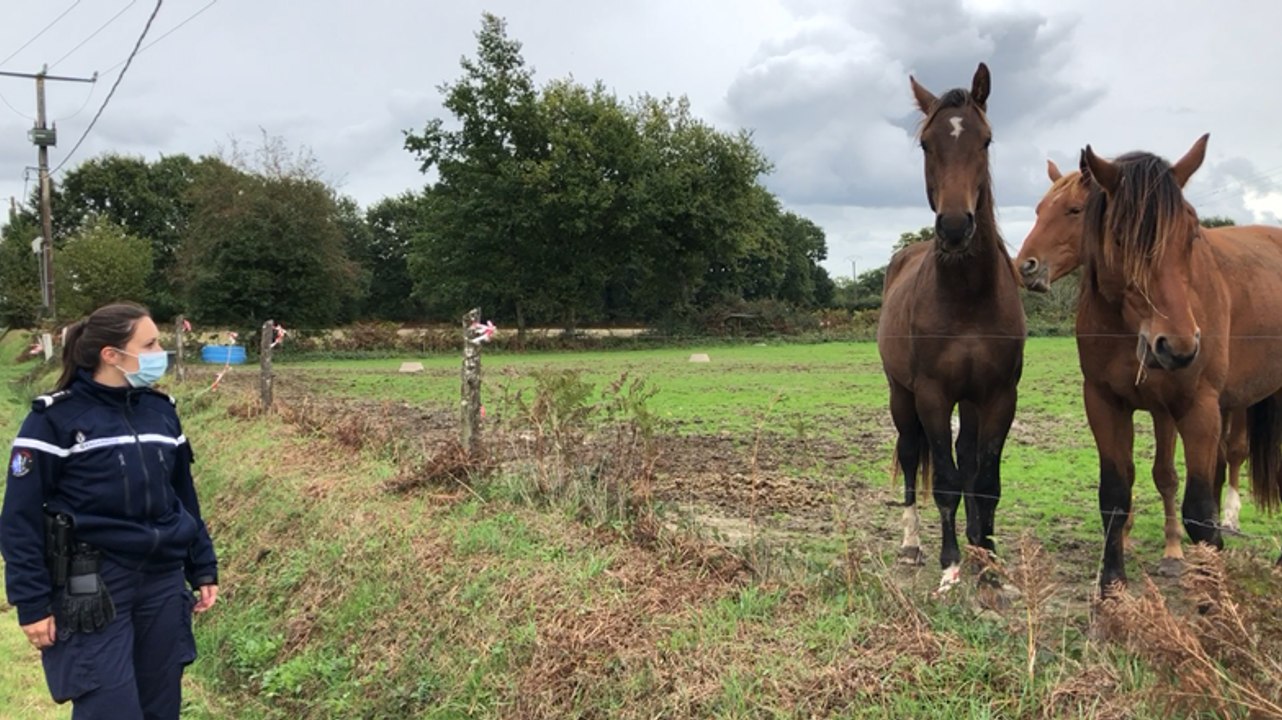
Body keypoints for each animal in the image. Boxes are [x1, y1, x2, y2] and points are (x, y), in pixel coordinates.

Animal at [878, 63, 1026, 592]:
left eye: (985, 139)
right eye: (926, 143)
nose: (957, 227)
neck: (967, 298)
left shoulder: (998, 396)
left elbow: (984, 481)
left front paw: (989, 561)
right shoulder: (933, 395)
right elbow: (943, 480)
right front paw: (951, 564)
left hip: (972, 403)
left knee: (968, 465)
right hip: (901, 396)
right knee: (909, 456)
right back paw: (911, 545)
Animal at [1014, 161, 1253, 576]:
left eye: (1074, 210)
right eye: (1039, 210)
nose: (1025, 266)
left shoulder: (1168, 409)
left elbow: (1166, 476)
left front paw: (1173, 549)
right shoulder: (1123, 405)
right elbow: (1130, 474)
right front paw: (1125, 539)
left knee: (1234, 453)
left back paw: (1228, 519)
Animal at [1077, 135, 1282, 589]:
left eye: (1191, 234)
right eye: (1120, 238)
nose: (1180, 348)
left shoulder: (1197, 407)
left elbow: (1199, 514)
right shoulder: (1104, 404)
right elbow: (1114, 498)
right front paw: (1112, 589)